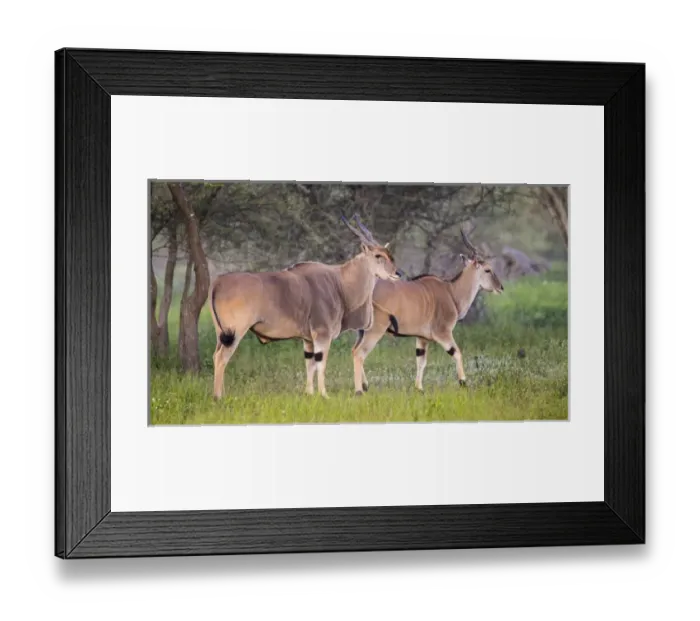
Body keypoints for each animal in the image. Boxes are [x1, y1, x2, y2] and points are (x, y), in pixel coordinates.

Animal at [208, 214, 400, 400]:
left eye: (388, 254)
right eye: (378, 256)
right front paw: (324, 395)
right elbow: (321, 362)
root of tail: (217, 282)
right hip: (236, 332)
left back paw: (223, 394)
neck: (339, 283)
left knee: (216, 355)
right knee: (221, 358)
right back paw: (218, 397)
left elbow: (310, 363)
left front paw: (309, 393)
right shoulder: (322, 333)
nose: (397, 273)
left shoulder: (308, 339)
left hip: (221, 334)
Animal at [351, 226, 504, 395]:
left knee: (354, 350)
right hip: (375, 331)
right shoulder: (443, 332)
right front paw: (463, 382)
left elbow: (421, 361)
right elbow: (457, 352)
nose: (501, 287)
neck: (451, 292)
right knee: (359, 353)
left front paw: (419, 388)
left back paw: (365, 385)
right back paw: (359, 391)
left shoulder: (422, 338)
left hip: (362, 332)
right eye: (488, 270)